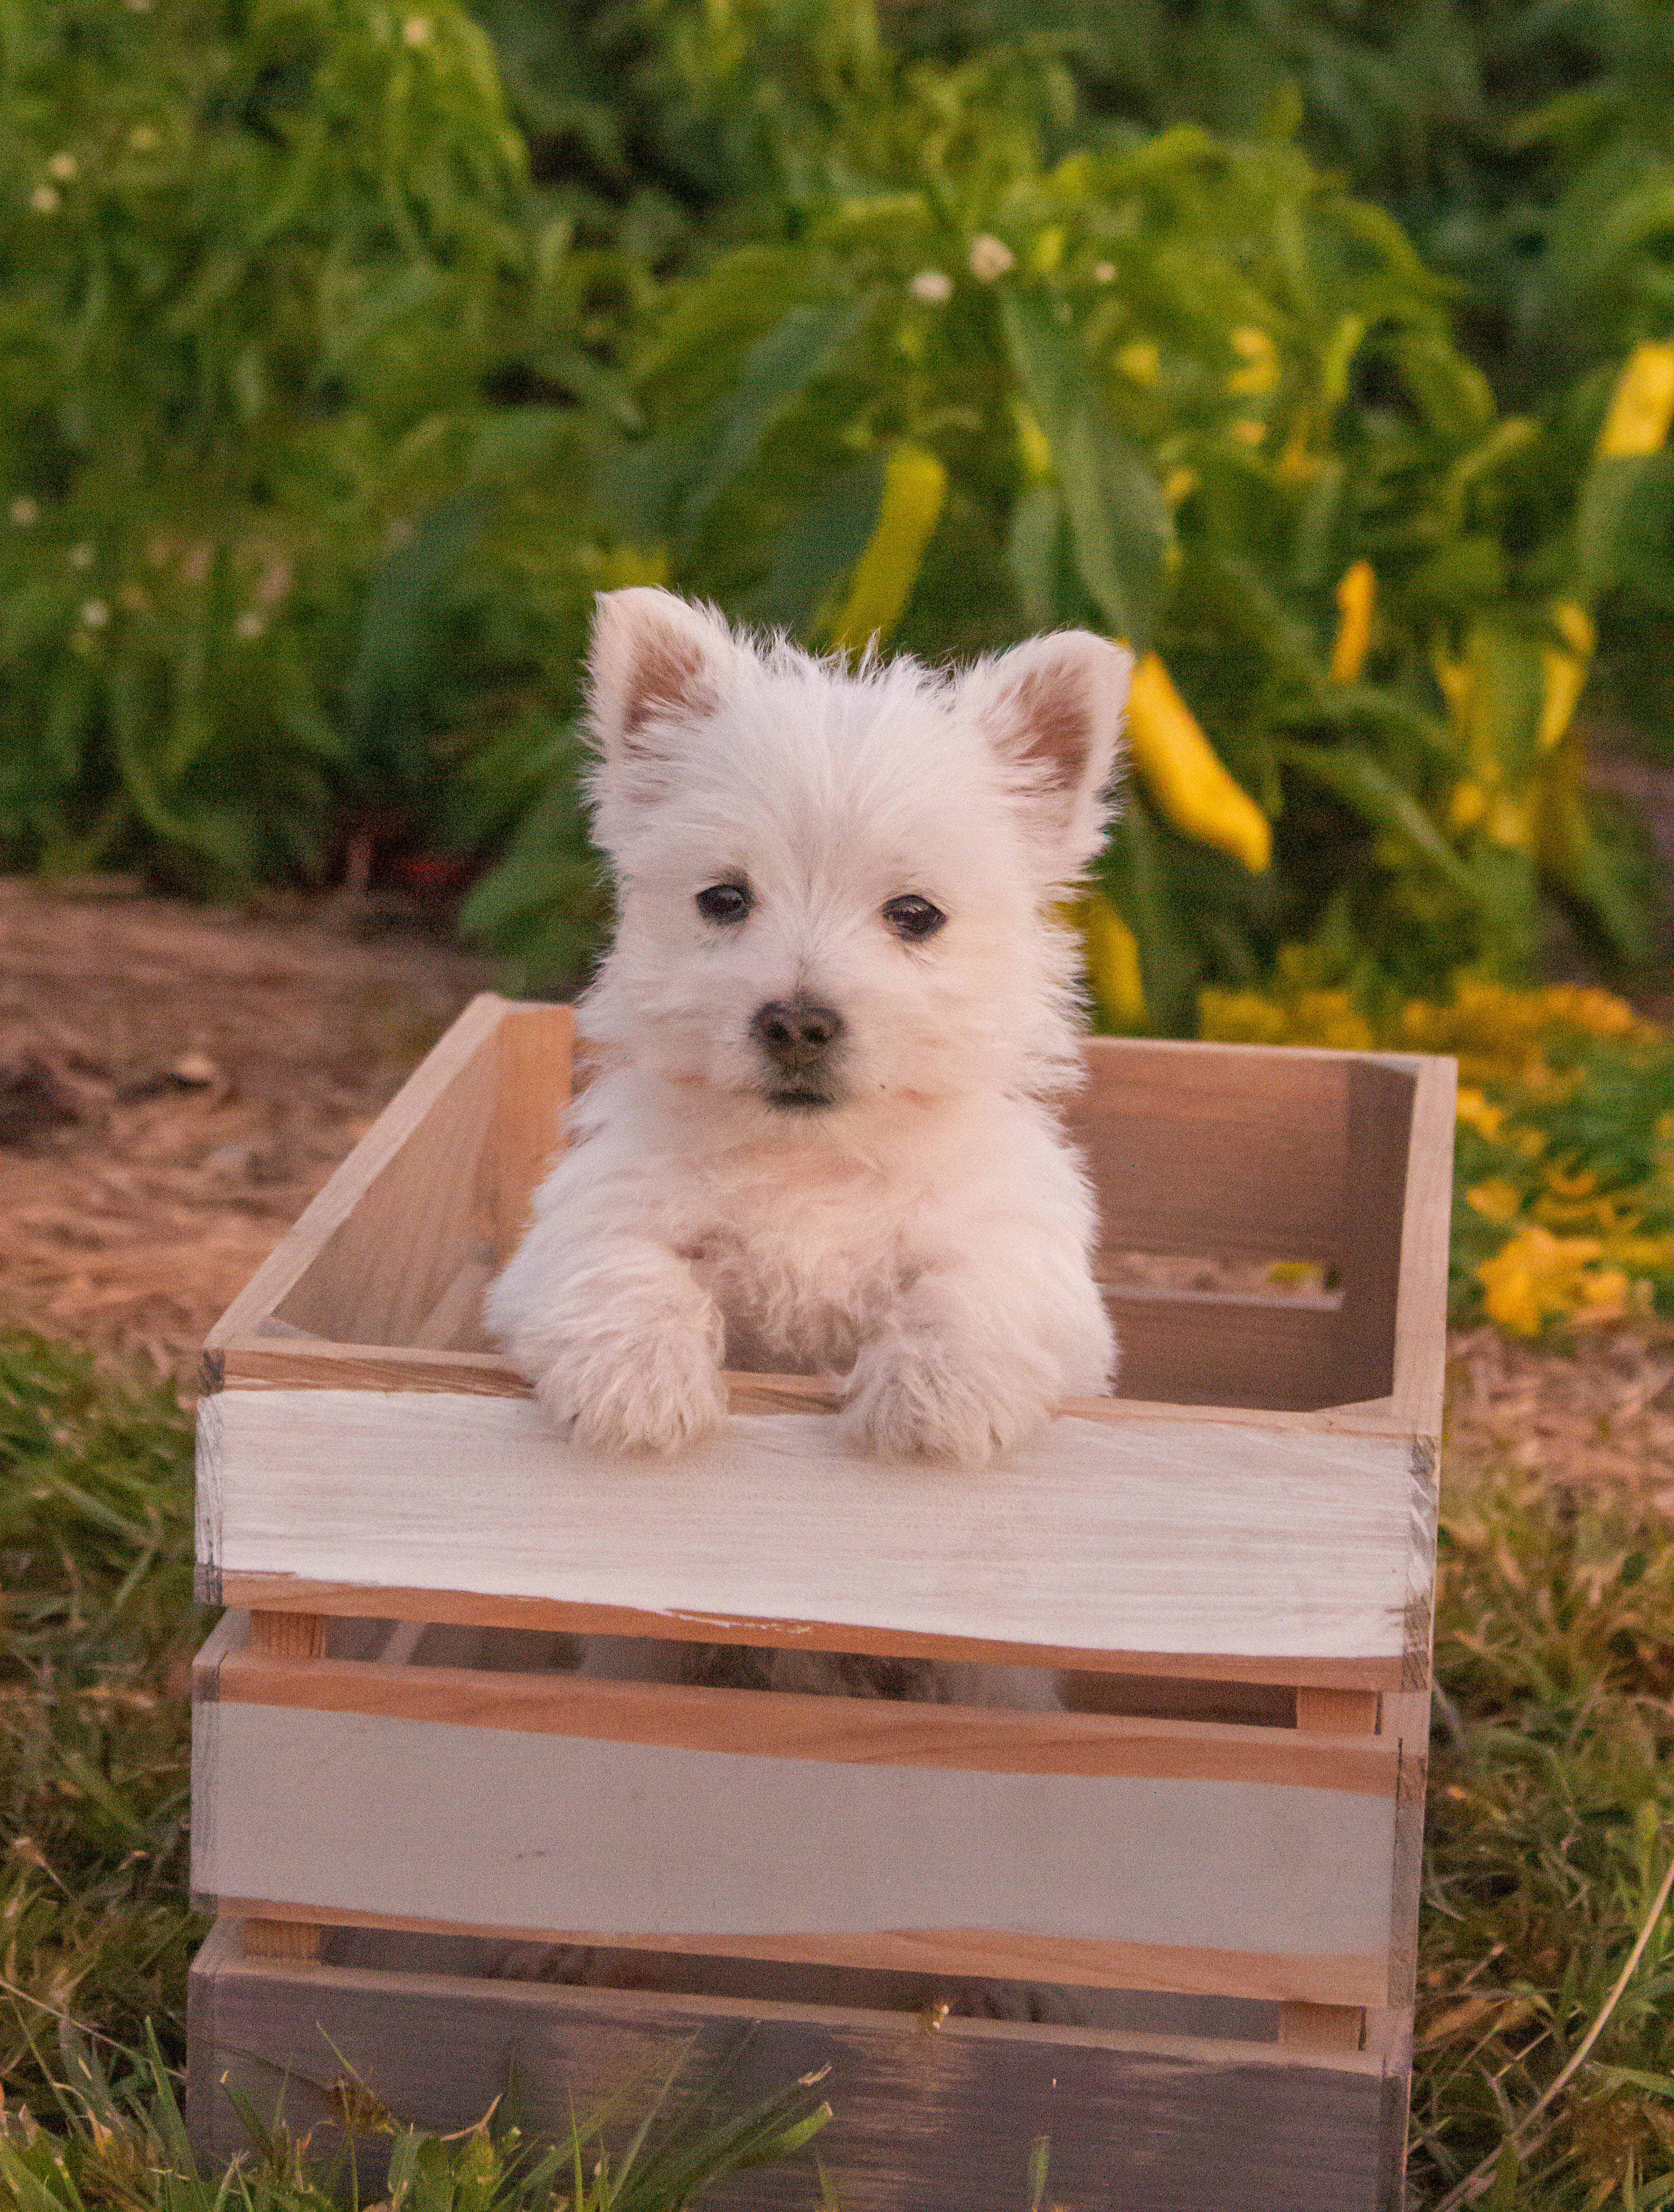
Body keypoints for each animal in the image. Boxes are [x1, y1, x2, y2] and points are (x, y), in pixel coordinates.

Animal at [488, 592, 1128, 1486]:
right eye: (723, 898)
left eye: (914, 913)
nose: (796, 1023)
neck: (811, 1160)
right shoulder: (583, 1218)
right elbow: (622, 1259)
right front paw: (635, 1379)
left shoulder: (1026, 1254)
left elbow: (975, 1283)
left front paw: (938, 1392)